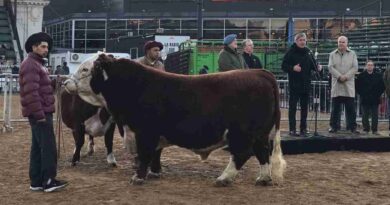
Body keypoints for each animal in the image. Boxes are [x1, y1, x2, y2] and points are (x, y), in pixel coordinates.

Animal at [63, 53, 284, 187]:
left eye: (85, 69)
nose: (65, 82)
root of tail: (260, 73)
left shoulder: (144, 132)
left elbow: (145, 154)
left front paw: (138, 177)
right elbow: (155, 154)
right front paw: (154, 173)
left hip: (243, 133)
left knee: (242, 154)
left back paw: (224, 178)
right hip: (260, 134)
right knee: (263, 153)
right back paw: (263, 178)